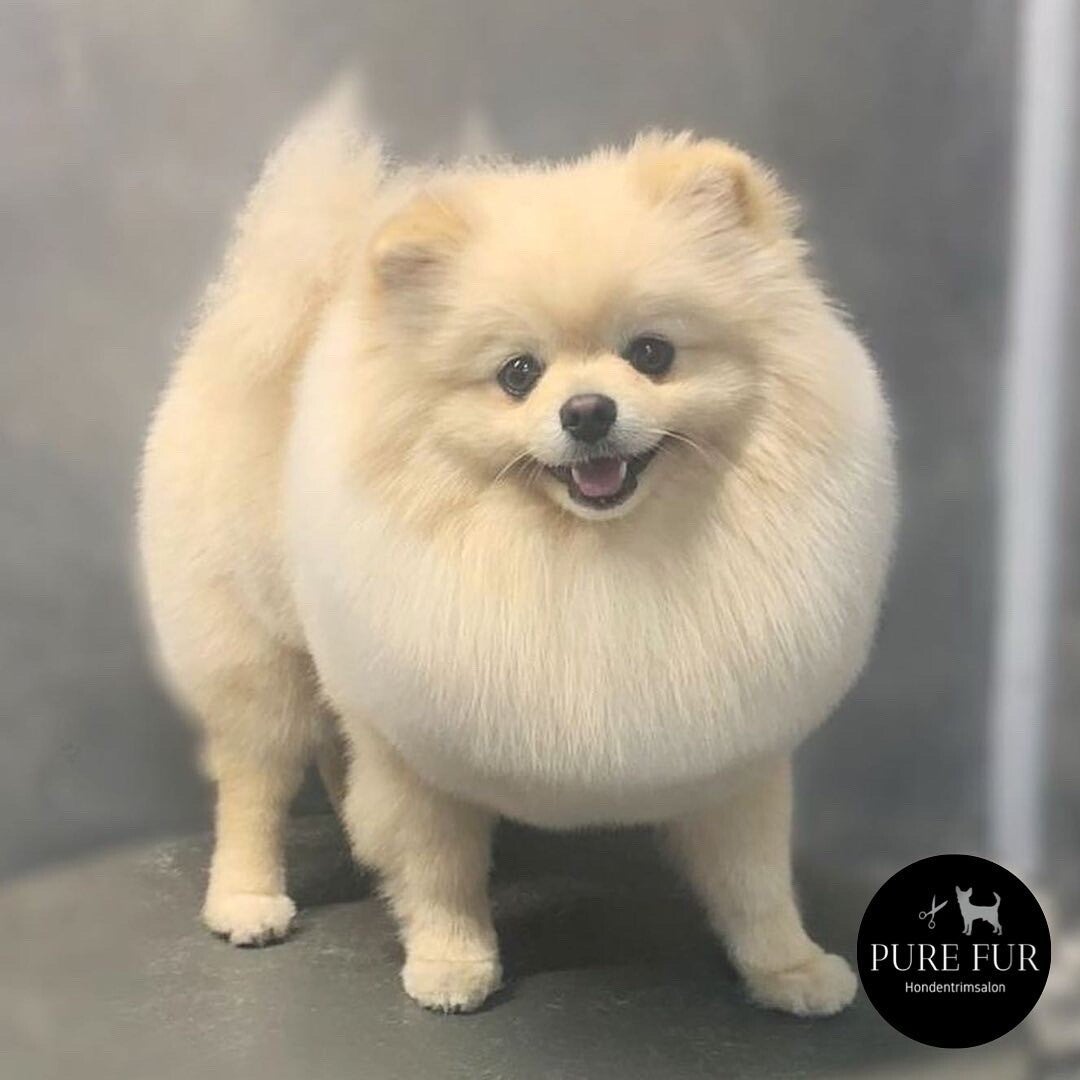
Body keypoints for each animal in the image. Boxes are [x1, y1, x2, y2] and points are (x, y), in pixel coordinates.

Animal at [138, 86, 897, 1016]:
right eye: (517, 374)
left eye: (653, 353)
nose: (588, 411)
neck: (589, 556)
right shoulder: (416, 744)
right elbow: (439, 867)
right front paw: (450, 963)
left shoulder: (734, 746)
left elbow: (755, 878)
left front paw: (788, 968)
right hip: (256, 653)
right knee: (255, 781)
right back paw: (247, 899)